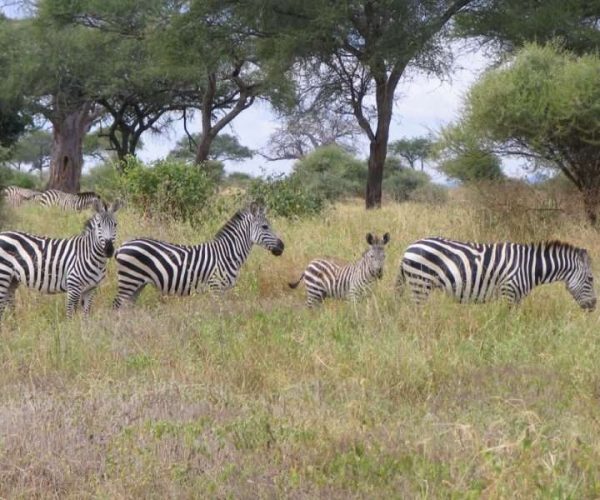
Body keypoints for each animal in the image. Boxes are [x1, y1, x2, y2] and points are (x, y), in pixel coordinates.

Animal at [112, 203, 286, 308]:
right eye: (265, 227)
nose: (282, 247)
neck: (228, 253)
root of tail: (122, 245)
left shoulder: (222, 290)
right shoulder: (216, 288)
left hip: (137, 283)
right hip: (130, 279)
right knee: (117, 304)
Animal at [396, 236, 596, 310]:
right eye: (591, 279)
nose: (594, 307)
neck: (529, 267)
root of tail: (409, 247)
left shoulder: (516, 298)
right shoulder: (508, 292)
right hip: (420, 284)